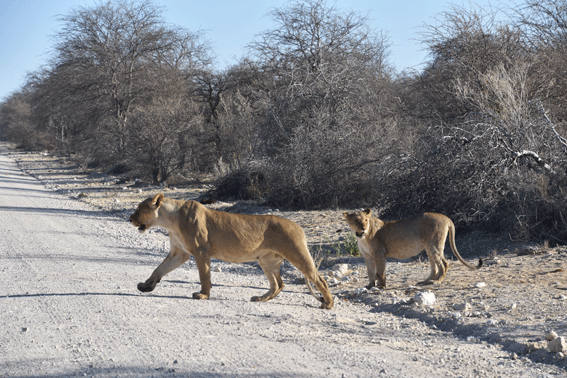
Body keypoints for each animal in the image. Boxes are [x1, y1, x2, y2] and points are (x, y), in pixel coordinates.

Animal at [130, 193, 332, 308]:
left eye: (139, 208)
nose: (129, 219)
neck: (169, 221)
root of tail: (298, 226)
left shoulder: (201, 250)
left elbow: (204, 275)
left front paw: (203, 295)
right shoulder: (180, 253)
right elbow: (159, 269)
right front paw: (146, 286)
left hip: (297, 253)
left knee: (318, 278)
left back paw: (328, 303)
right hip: (267, 260)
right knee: (278, 284)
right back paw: (260, 298)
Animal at [342, 210, 484, 290]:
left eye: (366, 220)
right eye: (356, 220)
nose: (363, 228)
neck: (362, 237)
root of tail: (447, 218)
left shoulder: (379, 254)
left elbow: (380, 272)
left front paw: (381, 287)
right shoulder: (367, 256)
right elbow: (370, 272)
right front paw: (370, 286)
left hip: (434, 245)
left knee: (444, 264)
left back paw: (436, 281)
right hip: (429, 247)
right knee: (435, 267)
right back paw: (425, 281)